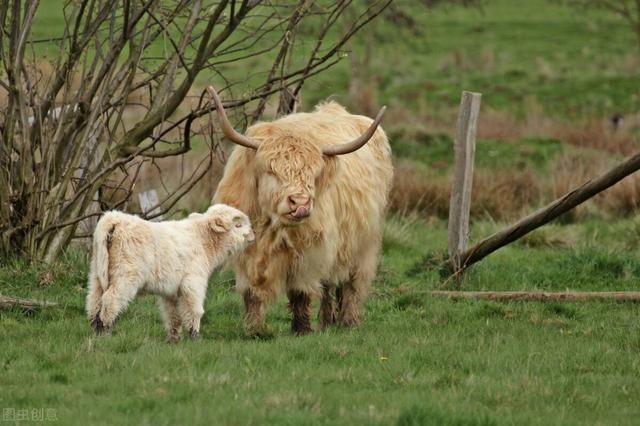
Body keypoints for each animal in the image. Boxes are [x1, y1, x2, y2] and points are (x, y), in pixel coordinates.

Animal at [208, 85, 392, 334]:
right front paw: (254, 329)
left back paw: (348, 322)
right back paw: (327, 321)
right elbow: (252, 292)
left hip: (363, 242)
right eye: (271, 171)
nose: (300, 203)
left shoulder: (309, 251)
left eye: (313, 174)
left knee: (352, 282)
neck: (272, 226)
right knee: (329, 284)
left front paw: (302, 329)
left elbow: (300, 292)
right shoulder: (248, 252)